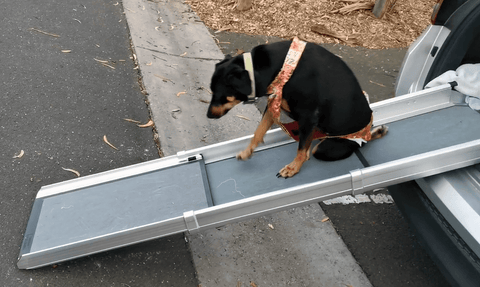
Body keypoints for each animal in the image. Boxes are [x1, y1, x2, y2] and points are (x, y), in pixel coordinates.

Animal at [206, 38, 386, 178]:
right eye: (211, 91)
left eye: (220, 95)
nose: (208, 115)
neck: (286, 66)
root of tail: (367, 132)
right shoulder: (273, 103)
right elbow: (259, 132)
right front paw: (247, 152)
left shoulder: (309, 116)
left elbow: (301, 150)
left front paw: (293, 168)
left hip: (328, 147)